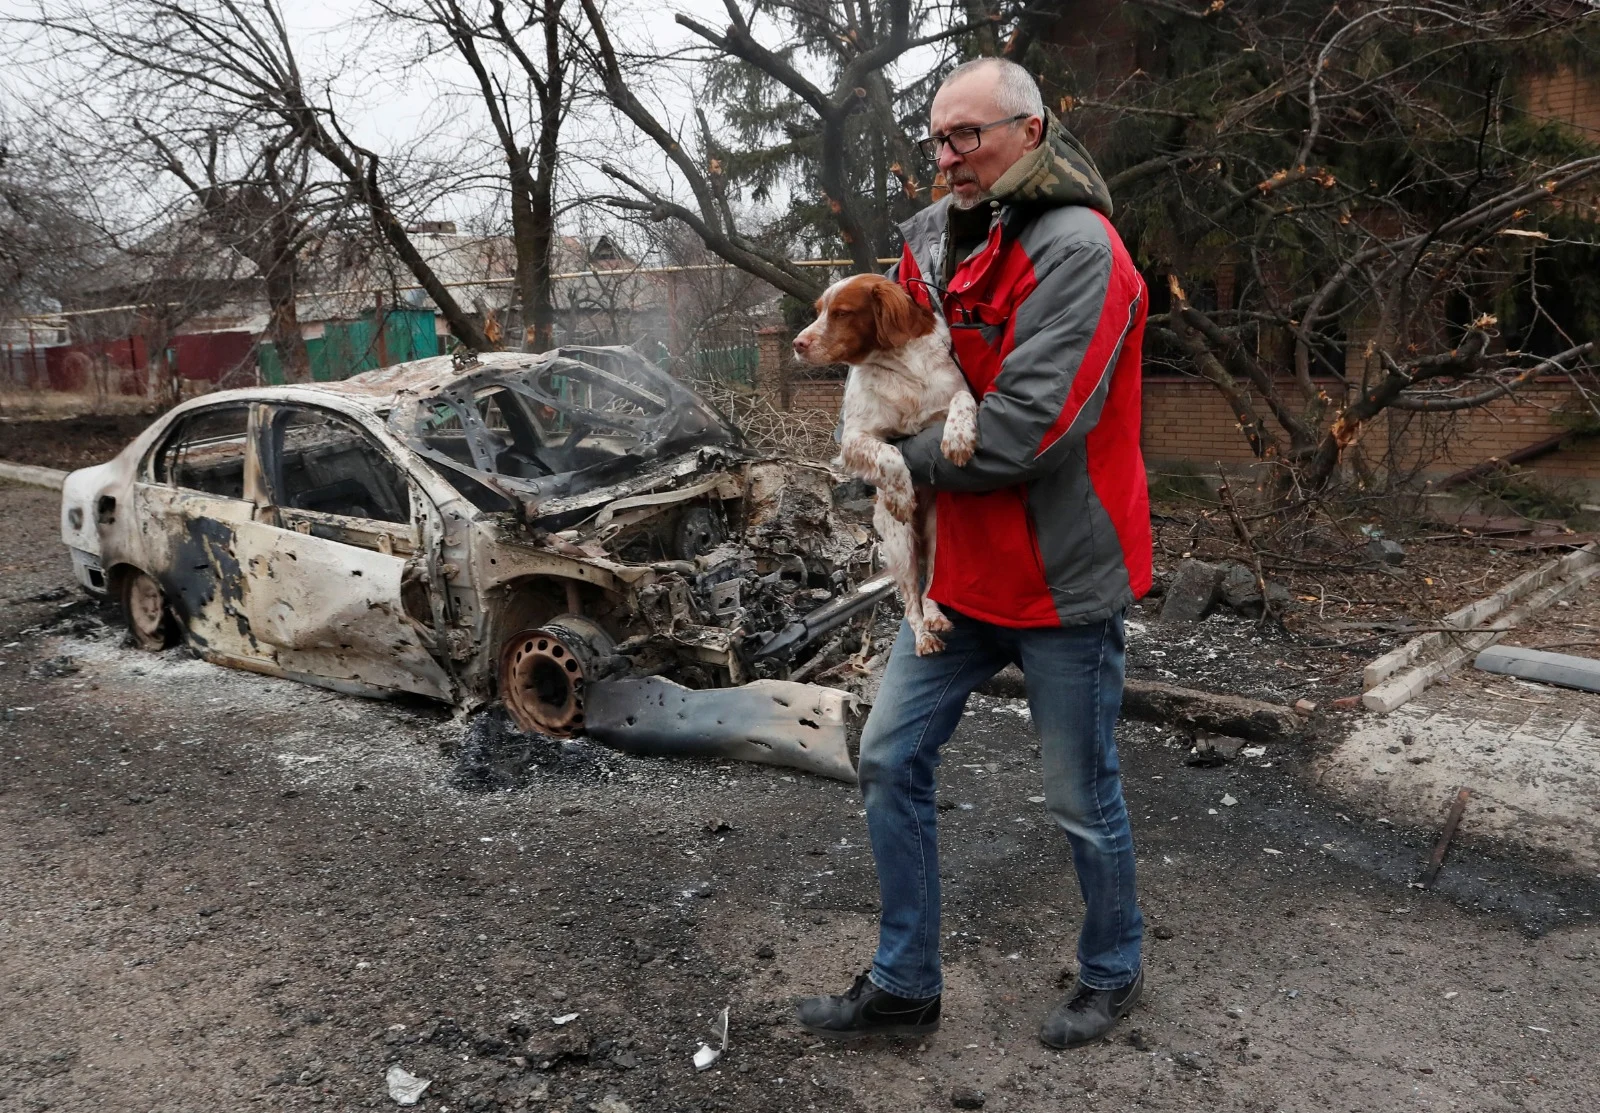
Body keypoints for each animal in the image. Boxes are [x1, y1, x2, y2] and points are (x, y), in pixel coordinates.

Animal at [793, 273, 979, 652]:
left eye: (841, 312)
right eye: (819, 311)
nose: (797, 344)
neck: (900, 365)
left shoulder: (953, 391)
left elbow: (962, 398)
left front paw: (957, 438)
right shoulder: (853, 439)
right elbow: (891, 453)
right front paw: (901, 496)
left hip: (939, 535)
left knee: (930, 585)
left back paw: (936, 617)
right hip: (900, 542)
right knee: (910, 602)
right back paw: (923, 636)